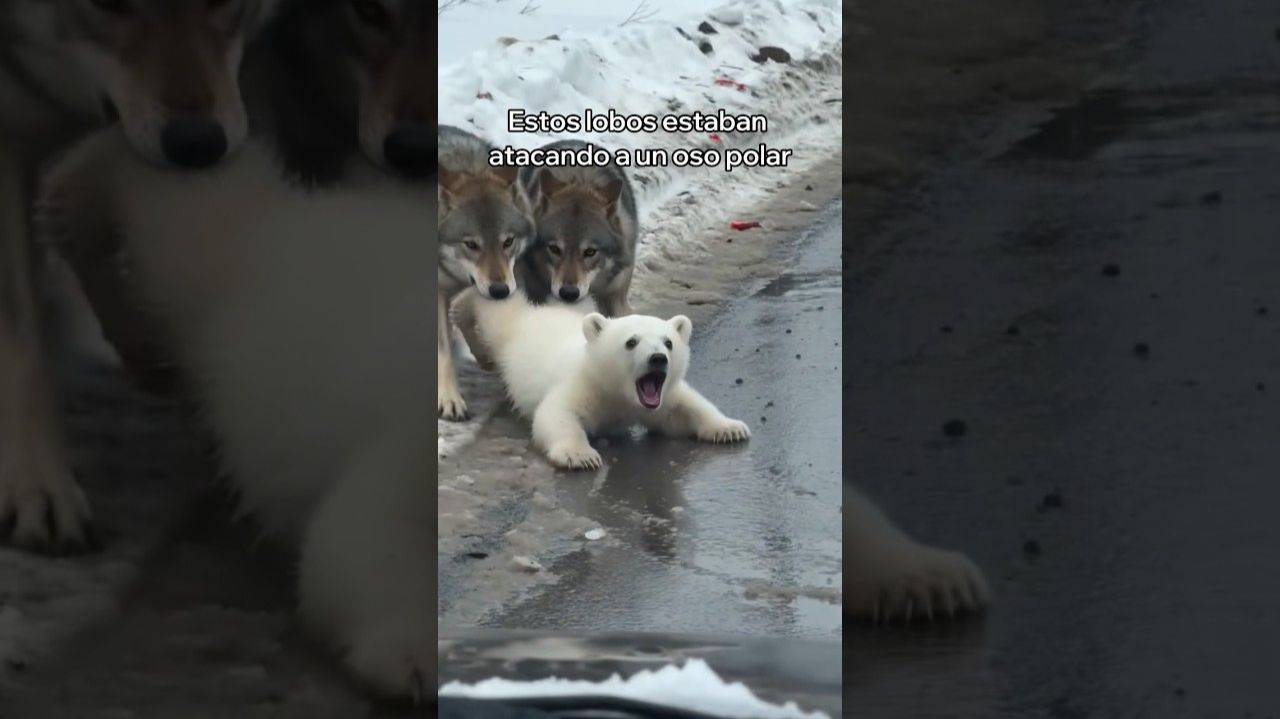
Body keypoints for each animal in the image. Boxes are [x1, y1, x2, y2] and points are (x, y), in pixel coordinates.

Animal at [464, 289, 750, 469]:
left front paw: (730, 428)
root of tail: (530, 316)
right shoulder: (584, 385)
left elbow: (684, 410)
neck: (618, 393)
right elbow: (556, 414)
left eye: (668, 342)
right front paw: (580, 456)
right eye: (631, 342)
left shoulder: (660, 399)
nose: (658, 358)